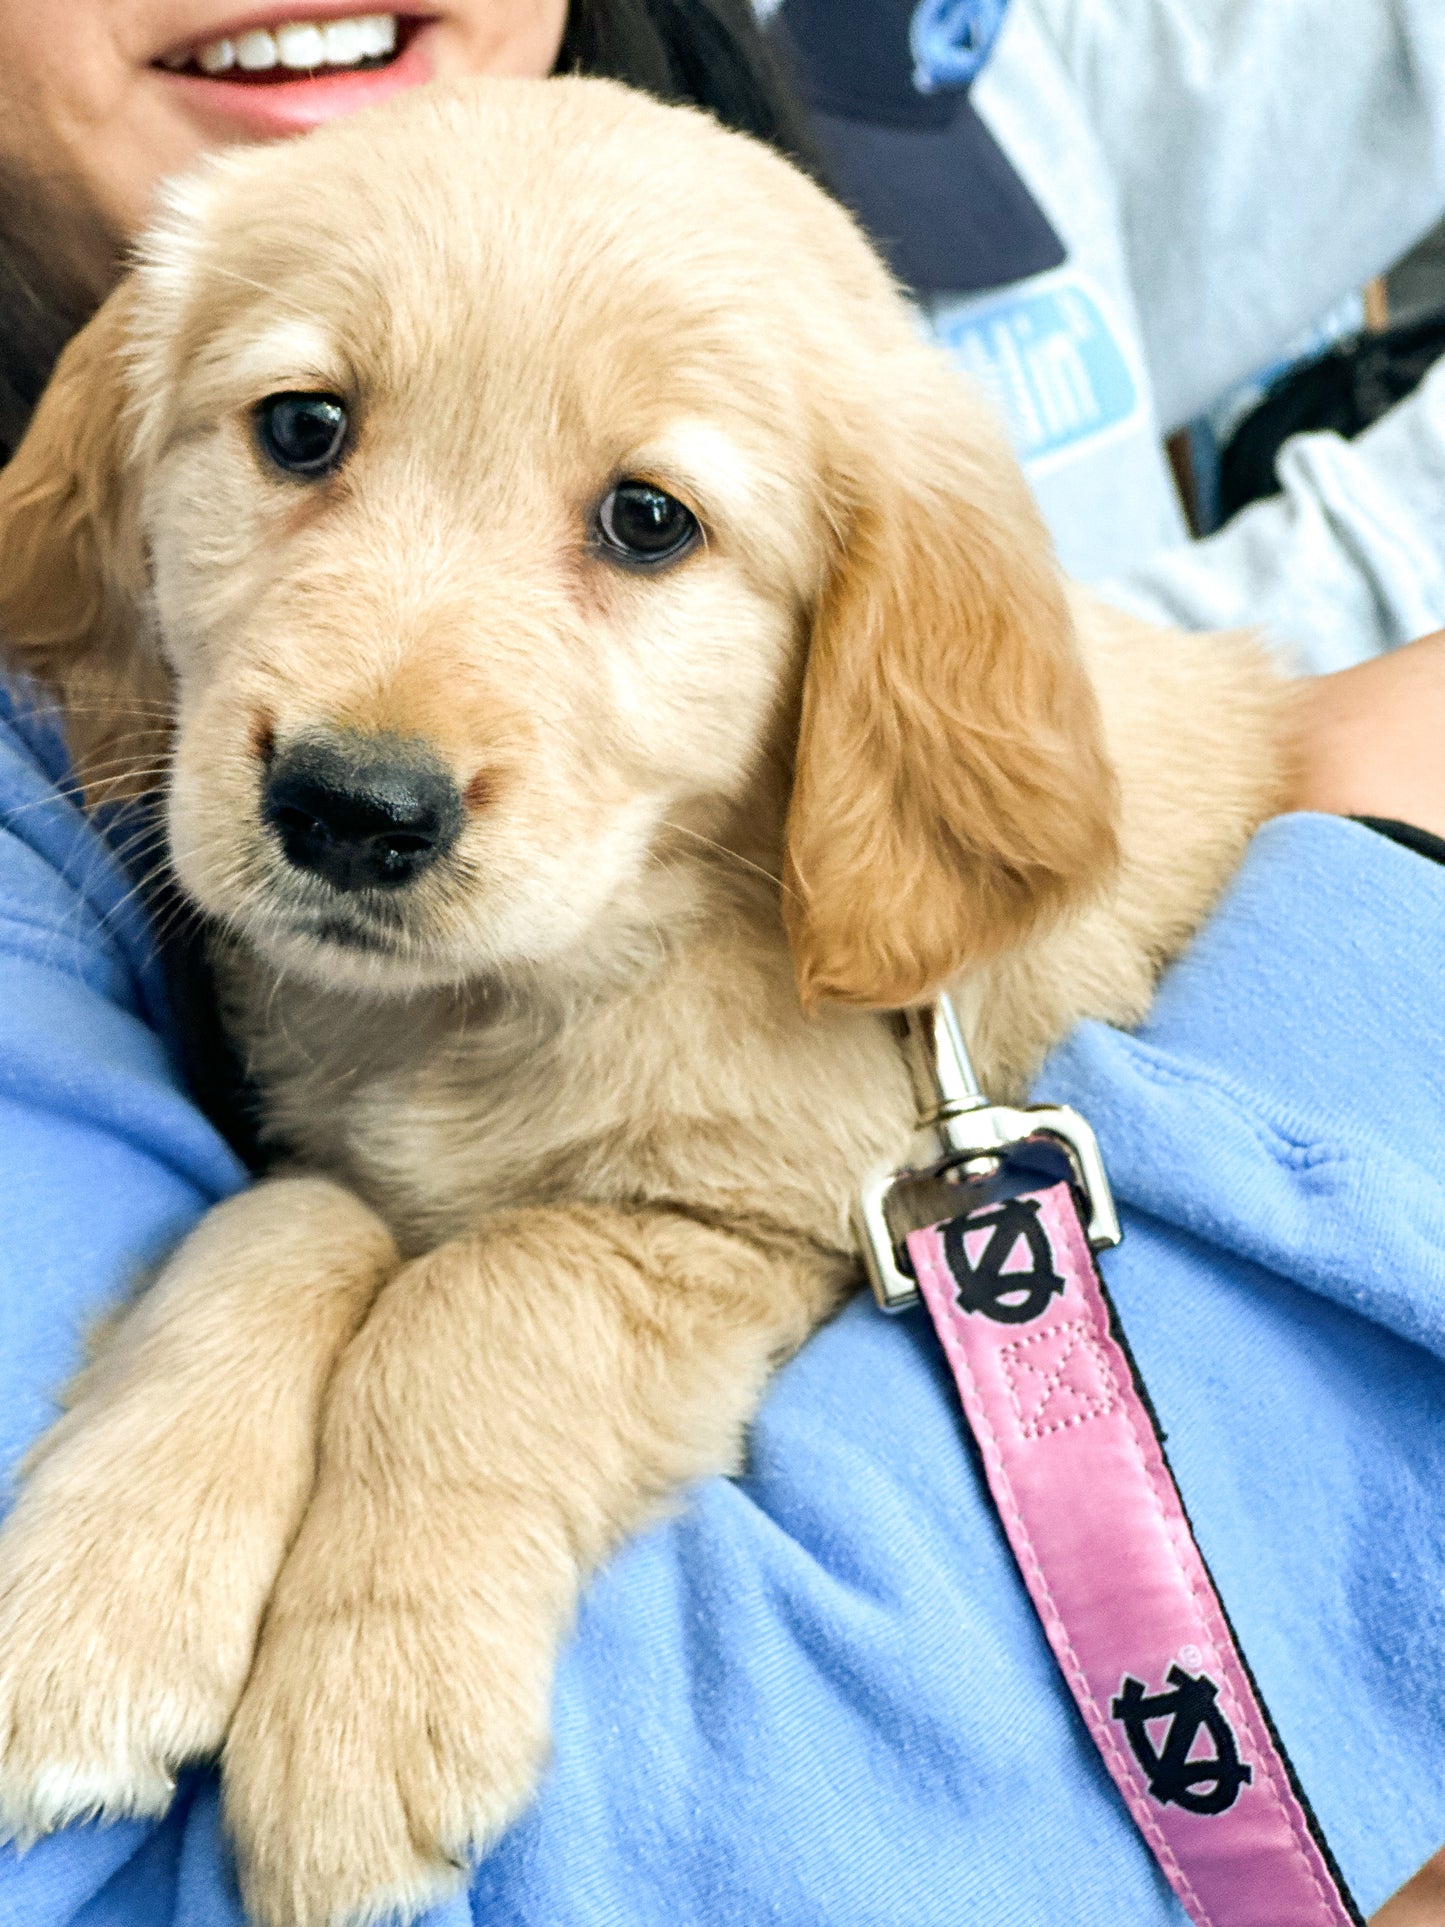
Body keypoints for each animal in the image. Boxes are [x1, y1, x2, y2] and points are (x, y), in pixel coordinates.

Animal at [0, 71, 1287, 1927]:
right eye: (302, 428)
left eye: (649, 520)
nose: (350, 809)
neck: (523, 991)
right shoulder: (340, 1148)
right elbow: (288, 1222)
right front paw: (96, 1601)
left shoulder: (783, 1229)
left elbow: (480, 1296)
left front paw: (358, 1713)